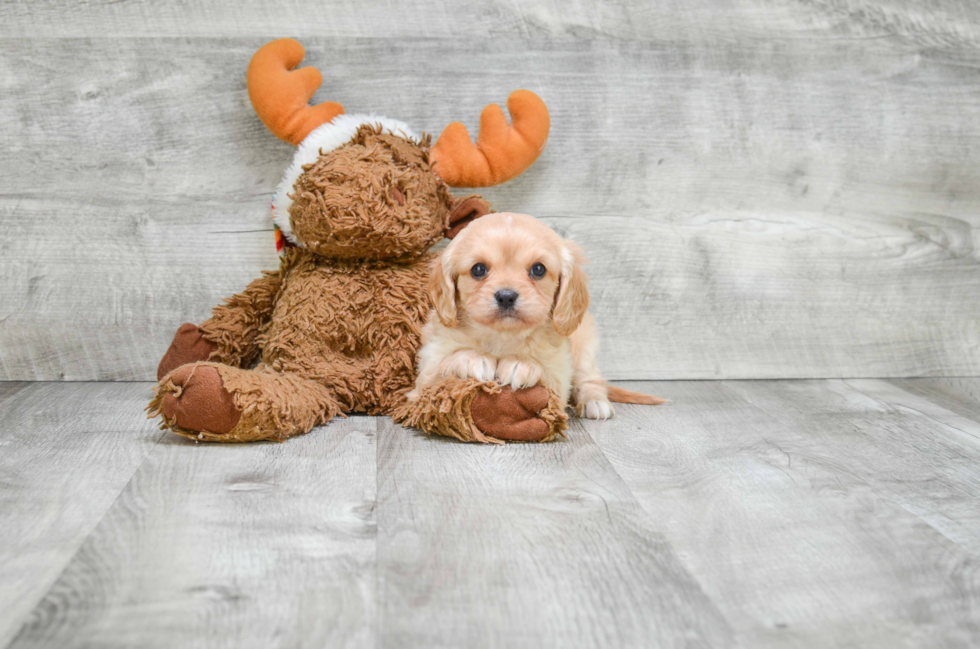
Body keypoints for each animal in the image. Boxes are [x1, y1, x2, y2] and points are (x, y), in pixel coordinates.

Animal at [410, 210, 664, 418]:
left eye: (538, 269)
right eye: (478, 269)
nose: (506, 296)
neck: (502, 337)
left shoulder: (559, 375)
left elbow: (546, 374)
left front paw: (521, 364)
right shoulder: (425, 373)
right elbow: (442, 367)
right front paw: (472, 358)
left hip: (585, 348)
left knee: (591, 378)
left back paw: (595, 401)